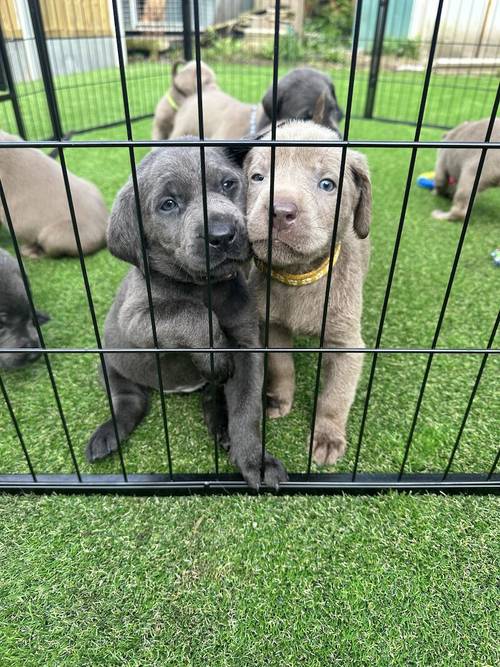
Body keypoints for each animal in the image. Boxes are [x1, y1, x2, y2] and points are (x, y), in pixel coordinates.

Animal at [230, 120, 372, 464]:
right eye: (258, 177)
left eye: (327, 184)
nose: (280, 211)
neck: (298, 276)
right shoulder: (272, 325)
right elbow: (282, 366)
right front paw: (279, 400)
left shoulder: (347, 345)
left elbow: (336, 396)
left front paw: (328, 436)